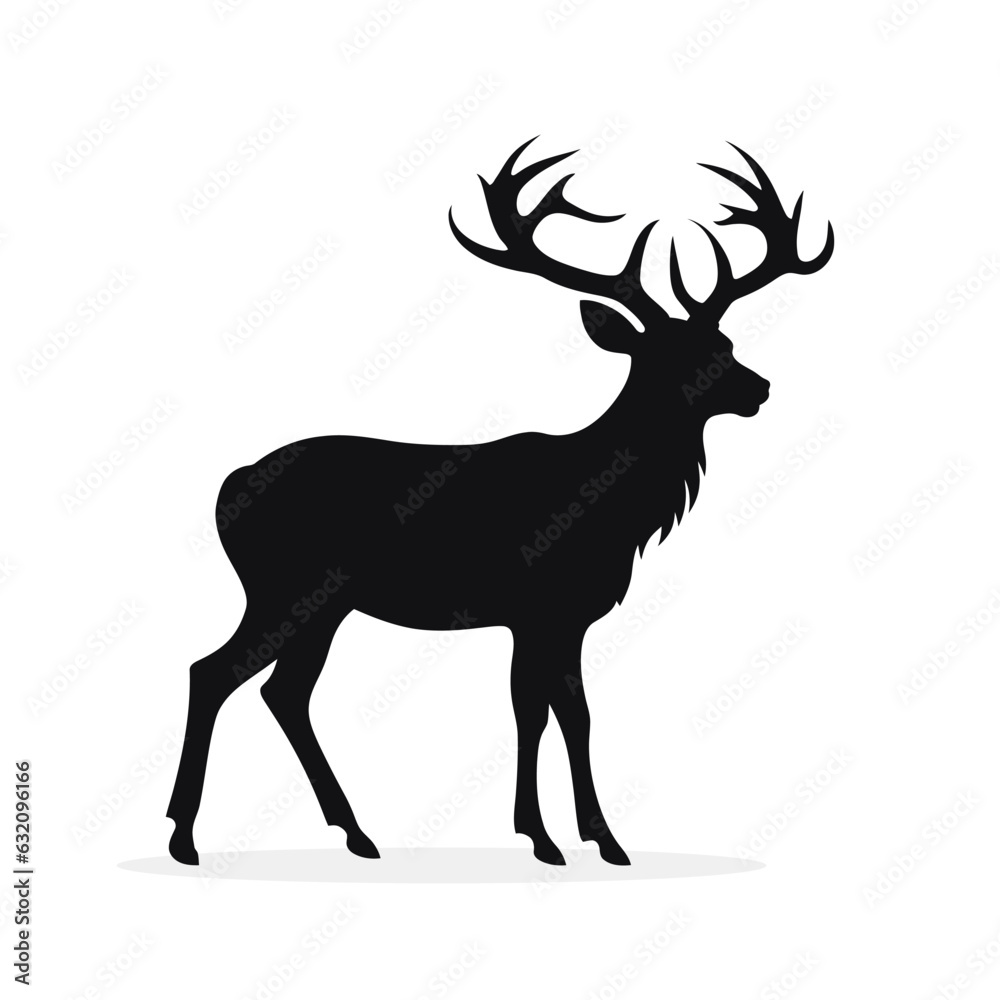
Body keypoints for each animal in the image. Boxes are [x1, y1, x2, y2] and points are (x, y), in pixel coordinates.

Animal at [166, 137, 833, 867]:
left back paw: (356, 832)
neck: (609, 511)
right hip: (283, 587)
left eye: (725, 342)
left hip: (325, 603)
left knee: (283, 691)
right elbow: (543, 711)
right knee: (212, 671)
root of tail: (230, 486)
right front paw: (559, 837)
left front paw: (583, 836)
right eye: (668, 355)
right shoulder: (538, 607)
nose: (758, 387)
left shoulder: (557, 617)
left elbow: (561, 712)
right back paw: (183, 836)